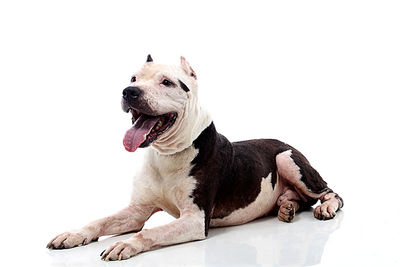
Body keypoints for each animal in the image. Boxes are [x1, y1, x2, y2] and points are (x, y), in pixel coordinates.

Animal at [46, 55, 340, 262]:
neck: (166, 155)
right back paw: (287, 206)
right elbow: (102, 220)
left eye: (167, 82)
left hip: (287, 159)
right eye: (133, 78)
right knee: (301, 200)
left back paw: (324, 208)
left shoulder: (195, 219)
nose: (129, 91)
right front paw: (73, 234)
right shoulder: (137, 211)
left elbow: (150, 231)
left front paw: (126, 244)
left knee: (330, 193)